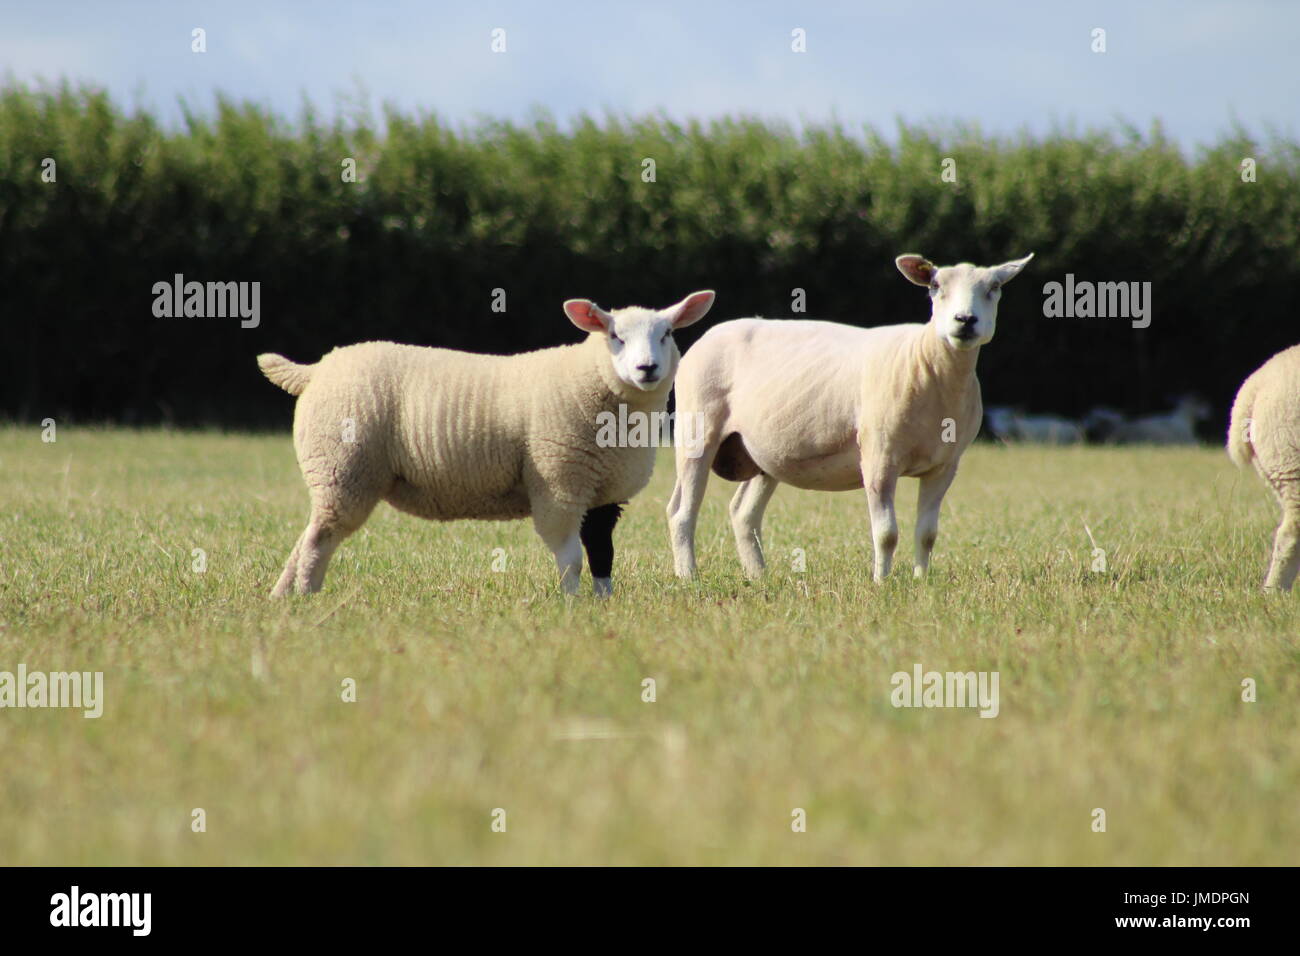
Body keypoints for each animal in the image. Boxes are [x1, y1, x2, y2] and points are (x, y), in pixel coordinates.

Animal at [258, 287, 717, 595]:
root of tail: (316, 369)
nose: (647, 369)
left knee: (312, 534)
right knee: (319, 540)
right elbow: (570, 558)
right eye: (615, 336)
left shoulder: (604, 492)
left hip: (335, 474)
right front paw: (573, 604)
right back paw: (307, 596)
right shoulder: (559, 484)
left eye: (666, 334)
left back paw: (284, 597)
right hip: (342, 467)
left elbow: (602, 553)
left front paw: (603, 603)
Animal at [665, 254, 1029, 580]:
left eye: (994, 287)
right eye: (935, 286)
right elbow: (886, 534)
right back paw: (688, 576)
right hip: (697, 429)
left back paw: (759, 576)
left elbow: (927, 534)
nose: (965, 320)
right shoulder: (879, 457)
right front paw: (882, 583)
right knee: (681, 512)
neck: (926, 362)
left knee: (743, 513)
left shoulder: (944, 466)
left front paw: (921, 582)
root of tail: (709, 335)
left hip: (763, 451)